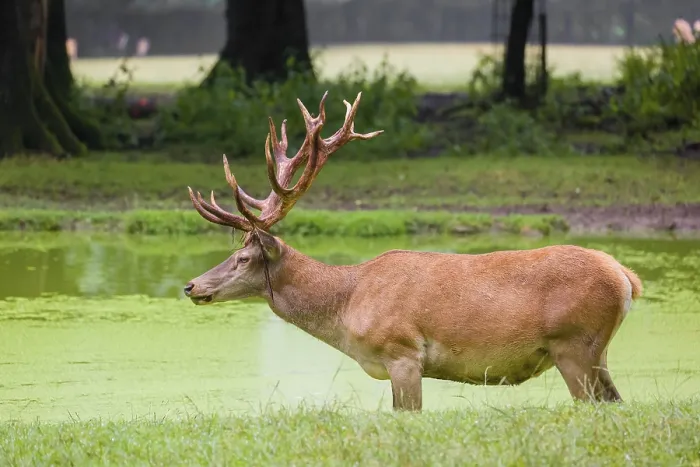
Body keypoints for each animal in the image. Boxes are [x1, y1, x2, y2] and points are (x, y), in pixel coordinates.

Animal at [183, 91, 643, 411]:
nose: (191, 286)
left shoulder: (402, 353)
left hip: (574, 345)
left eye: (243, 258)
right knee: (617, 402)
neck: (347, 306)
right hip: (596, 352)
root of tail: (626, 277)